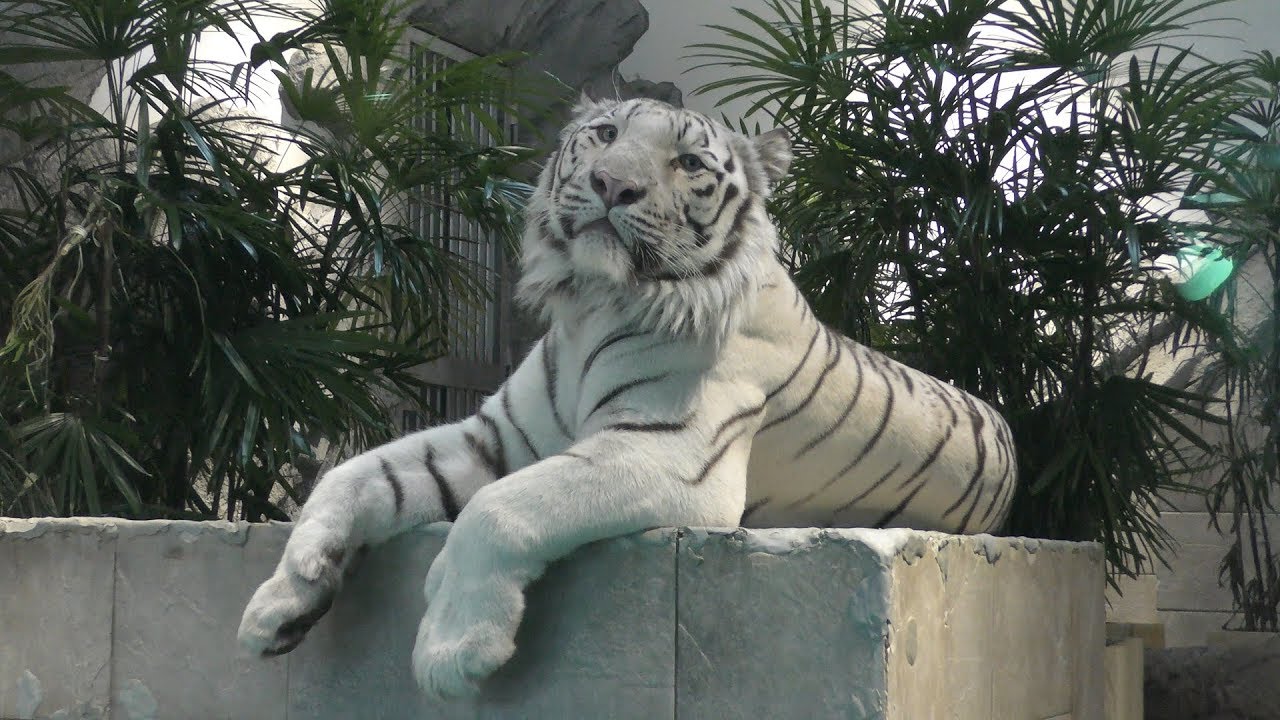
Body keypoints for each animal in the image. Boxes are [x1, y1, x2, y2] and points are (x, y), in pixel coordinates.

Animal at [237, 96, 1018, 699]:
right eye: (607, 135)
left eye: (689, 163)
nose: (612, 184)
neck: (592, 300)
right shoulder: (494, 437)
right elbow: (355, 474)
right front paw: (283, 595)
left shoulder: (670, 451)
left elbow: (502, 507)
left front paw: (453, 649)